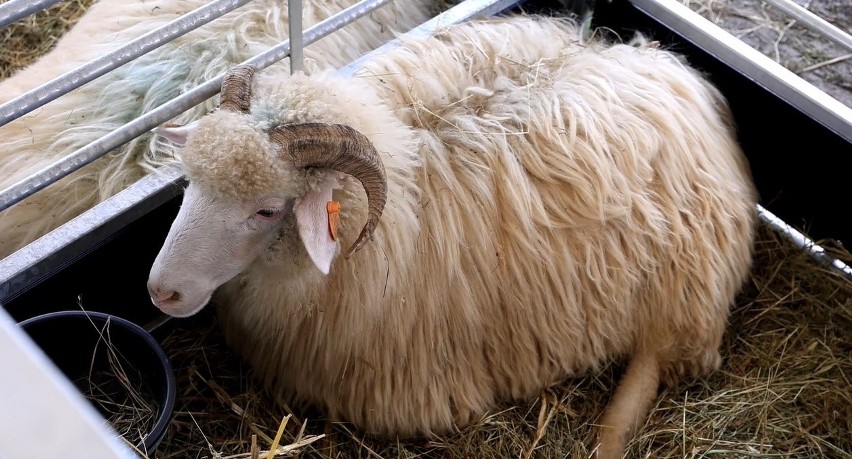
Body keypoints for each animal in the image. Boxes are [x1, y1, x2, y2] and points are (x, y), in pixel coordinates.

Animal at [146, 15, 760, 459]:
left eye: (268, 209)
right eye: (190, 180)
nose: (160, 292)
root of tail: (671, 68)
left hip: (684, 285)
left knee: (651, 366)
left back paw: (610, 433)